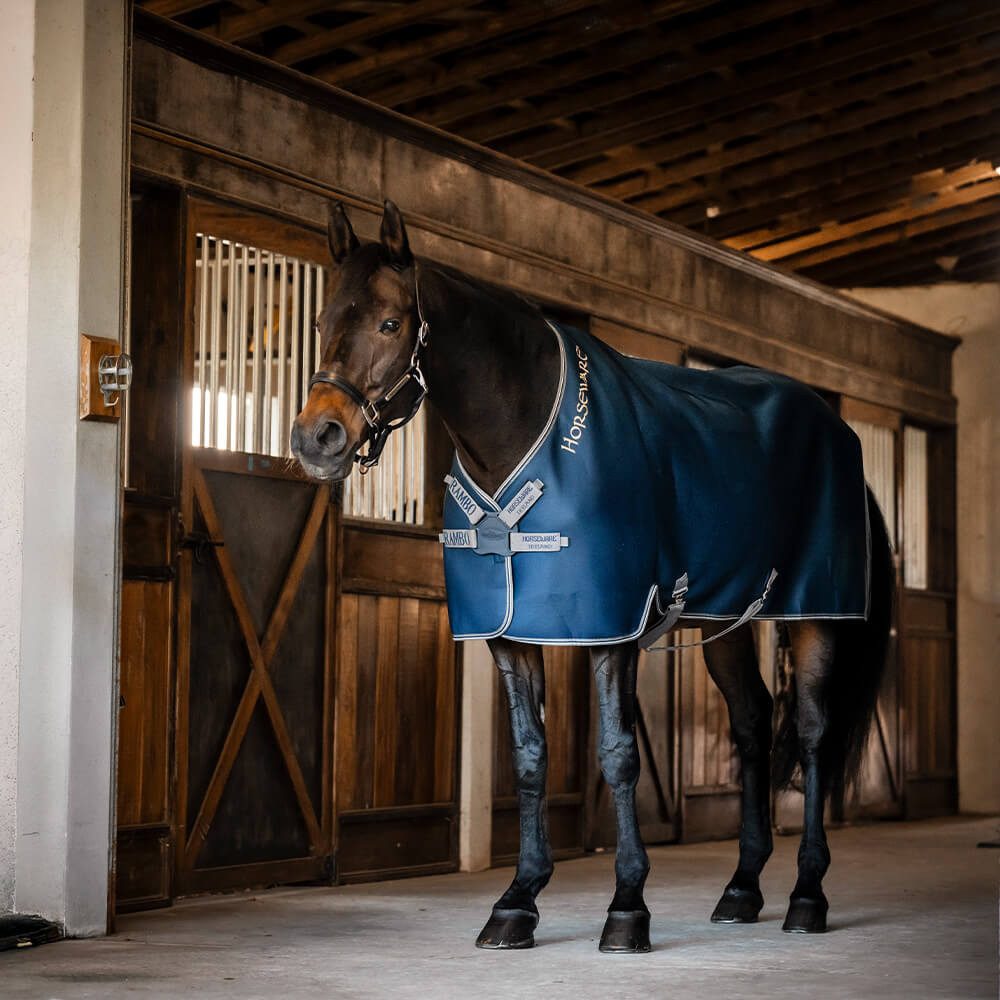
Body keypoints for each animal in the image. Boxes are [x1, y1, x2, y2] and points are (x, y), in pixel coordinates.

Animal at [291, 200, 892, 953]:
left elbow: (617, 753)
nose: (317, 438)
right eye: (321, 322)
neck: (523, 431)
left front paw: (627, 907)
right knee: (753, 722)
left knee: (810, 732)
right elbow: (528, 758)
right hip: (728, 620)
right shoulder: (510, 635)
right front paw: (517, 901)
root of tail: (841, 437)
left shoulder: (611, 630)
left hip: (814, 614)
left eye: (391, 323)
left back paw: (807, 895)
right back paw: (741, 889)